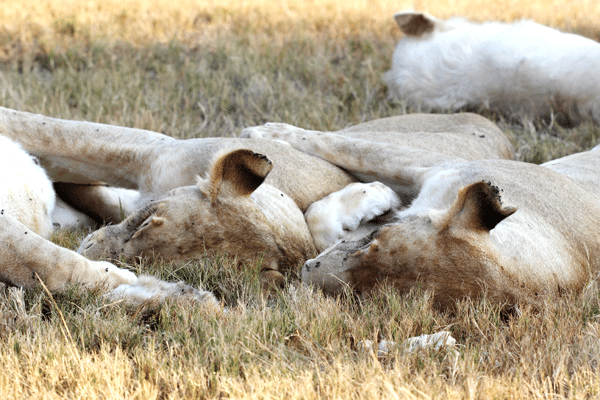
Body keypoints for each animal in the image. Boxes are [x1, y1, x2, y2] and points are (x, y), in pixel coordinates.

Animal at [251, 126, 600, 308]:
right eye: (372, 241)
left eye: (363, 297)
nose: (304, 272)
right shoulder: (447, 167)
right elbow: (348, 147)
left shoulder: (441, 166)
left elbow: (347, 150)